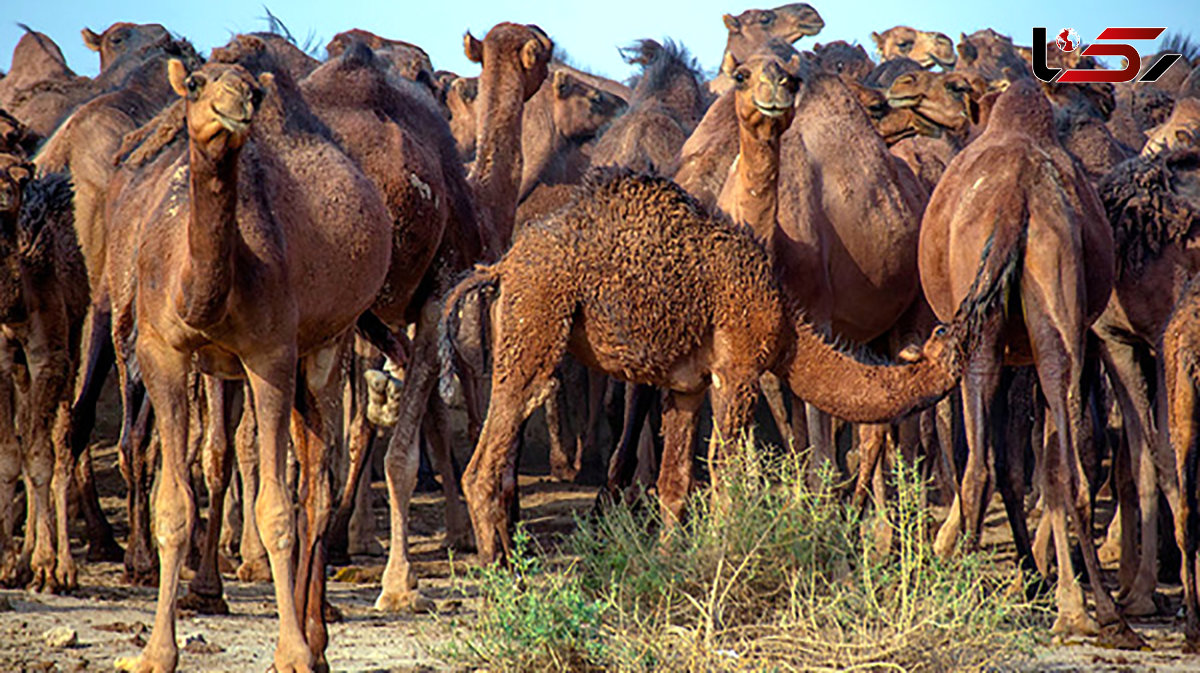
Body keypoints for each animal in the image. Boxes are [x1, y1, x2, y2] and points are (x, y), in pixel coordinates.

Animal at [105, 36, 391, 671]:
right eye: (195, 84)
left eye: (254, 93)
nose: (237, 104)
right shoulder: (161, 353)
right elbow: (174, 506)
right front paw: (156, 653)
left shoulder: (270, 355)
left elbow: (277, 510)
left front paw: (292, 652)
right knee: (311, 472)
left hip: (327, 345)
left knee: (317, 486)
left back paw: (316, 639)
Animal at [916, 77, 1142, 647]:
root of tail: (1015, 201)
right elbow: (1035, 459)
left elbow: (1010, 462)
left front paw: (1026, 573)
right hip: (1055, 318)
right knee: (1070, 465)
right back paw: (1102, 613)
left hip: (992, 333)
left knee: (982, 464)